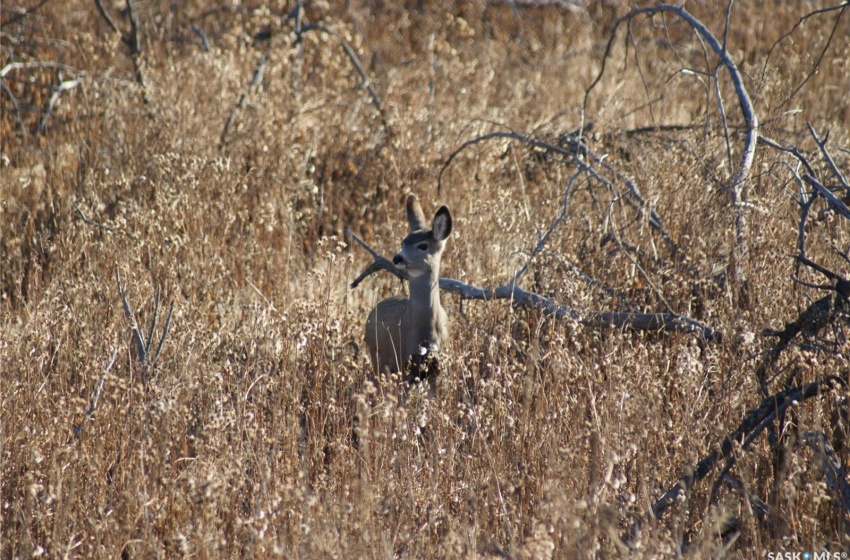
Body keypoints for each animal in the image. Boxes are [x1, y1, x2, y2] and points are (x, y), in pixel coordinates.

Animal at [362, 194, 450, 384]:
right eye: (403, 242)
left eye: (423, 245)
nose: (397, 258)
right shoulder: (404, 365)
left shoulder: (436, 370)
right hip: (379, 359)